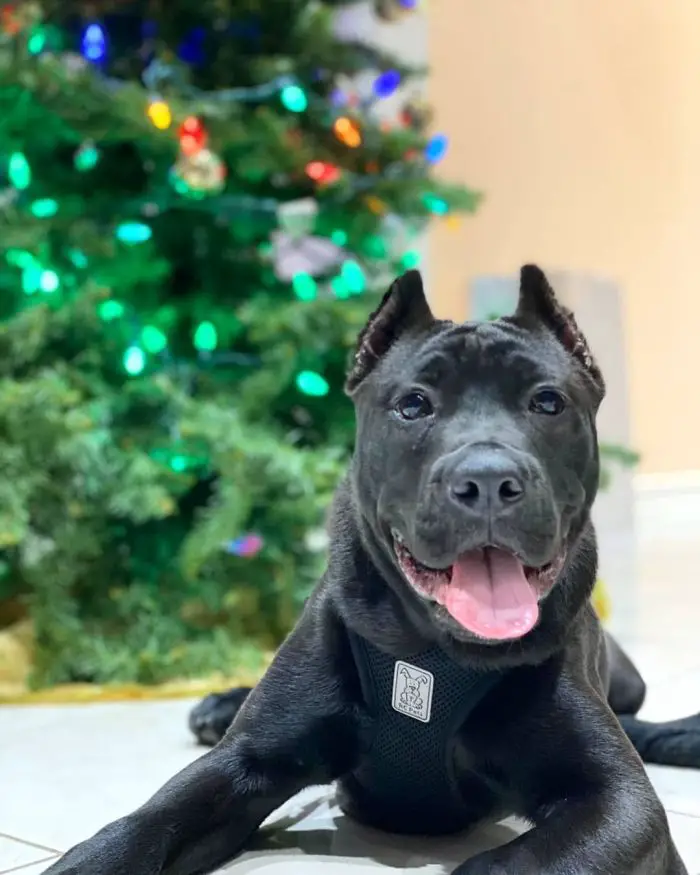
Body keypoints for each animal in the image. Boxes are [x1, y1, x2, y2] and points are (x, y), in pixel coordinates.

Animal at [46, 268, 688, 875]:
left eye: (548, 402)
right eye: (414, 405)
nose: (486, 480)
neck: (430, 653)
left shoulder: (619, 802)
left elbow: (516, 862)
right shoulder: (242, 761)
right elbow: (142, 825)